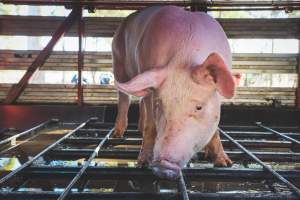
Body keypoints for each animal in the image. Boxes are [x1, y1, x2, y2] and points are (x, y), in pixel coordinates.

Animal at [111, 5, 240, 179]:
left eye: (199, 107)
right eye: (159, 104)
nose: (163, 164)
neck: (184, 56)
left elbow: (215, 131)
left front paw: (225, 164)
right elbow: (151, 125)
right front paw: (142, 164)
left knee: (139, 100)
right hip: (118, 61)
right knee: (125, 98)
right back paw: (117, 134)